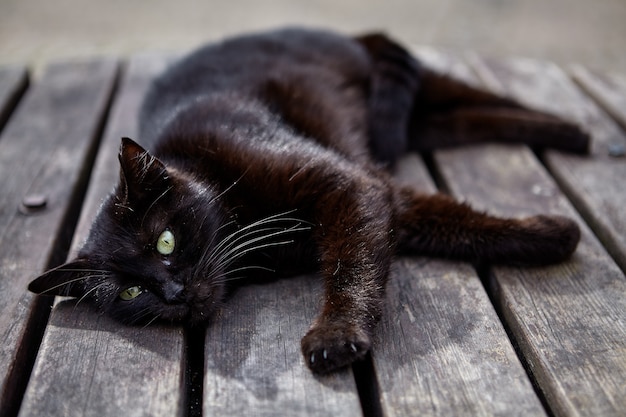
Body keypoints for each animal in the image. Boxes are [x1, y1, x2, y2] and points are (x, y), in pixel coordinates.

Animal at [28, 29, 584, 374]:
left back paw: (574, 130)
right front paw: (553, 236)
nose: (173, 292)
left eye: (164, 241)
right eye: (128, 293)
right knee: (476, 118)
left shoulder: (348, 185)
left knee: (492, 97)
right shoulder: (386, 193)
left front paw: (335, 334)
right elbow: (458, 223)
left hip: (423, 88)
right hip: (423, 124)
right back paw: (566, 135)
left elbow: (351, 265)